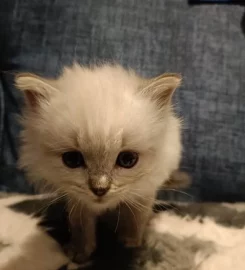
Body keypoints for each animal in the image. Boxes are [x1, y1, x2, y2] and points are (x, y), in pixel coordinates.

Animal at [14, 62, 180, 262]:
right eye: (72, 160)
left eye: (127, 160)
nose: (100, 189)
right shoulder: (77, 198)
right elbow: (80, 224)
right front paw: (79, 252)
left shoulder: (144, 191)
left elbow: (136, 218)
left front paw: (131, 242)